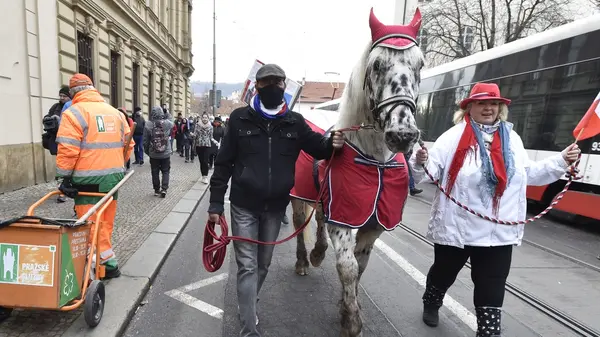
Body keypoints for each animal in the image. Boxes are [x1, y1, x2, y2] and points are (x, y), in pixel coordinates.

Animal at [288, 7, 424, 336]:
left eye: (420, 64)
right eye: (376, 65)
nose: (403, 134)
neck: (375, 161)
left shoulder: (372, 225)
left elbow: (359, 266)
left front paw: (346, 305)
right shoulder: (344, 217)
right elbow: (347, 267)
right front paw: (351, 320)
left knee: (320, 219)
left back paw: (318, 252)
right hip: (299, 197)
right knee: (300, 223)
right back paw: (304, 260)